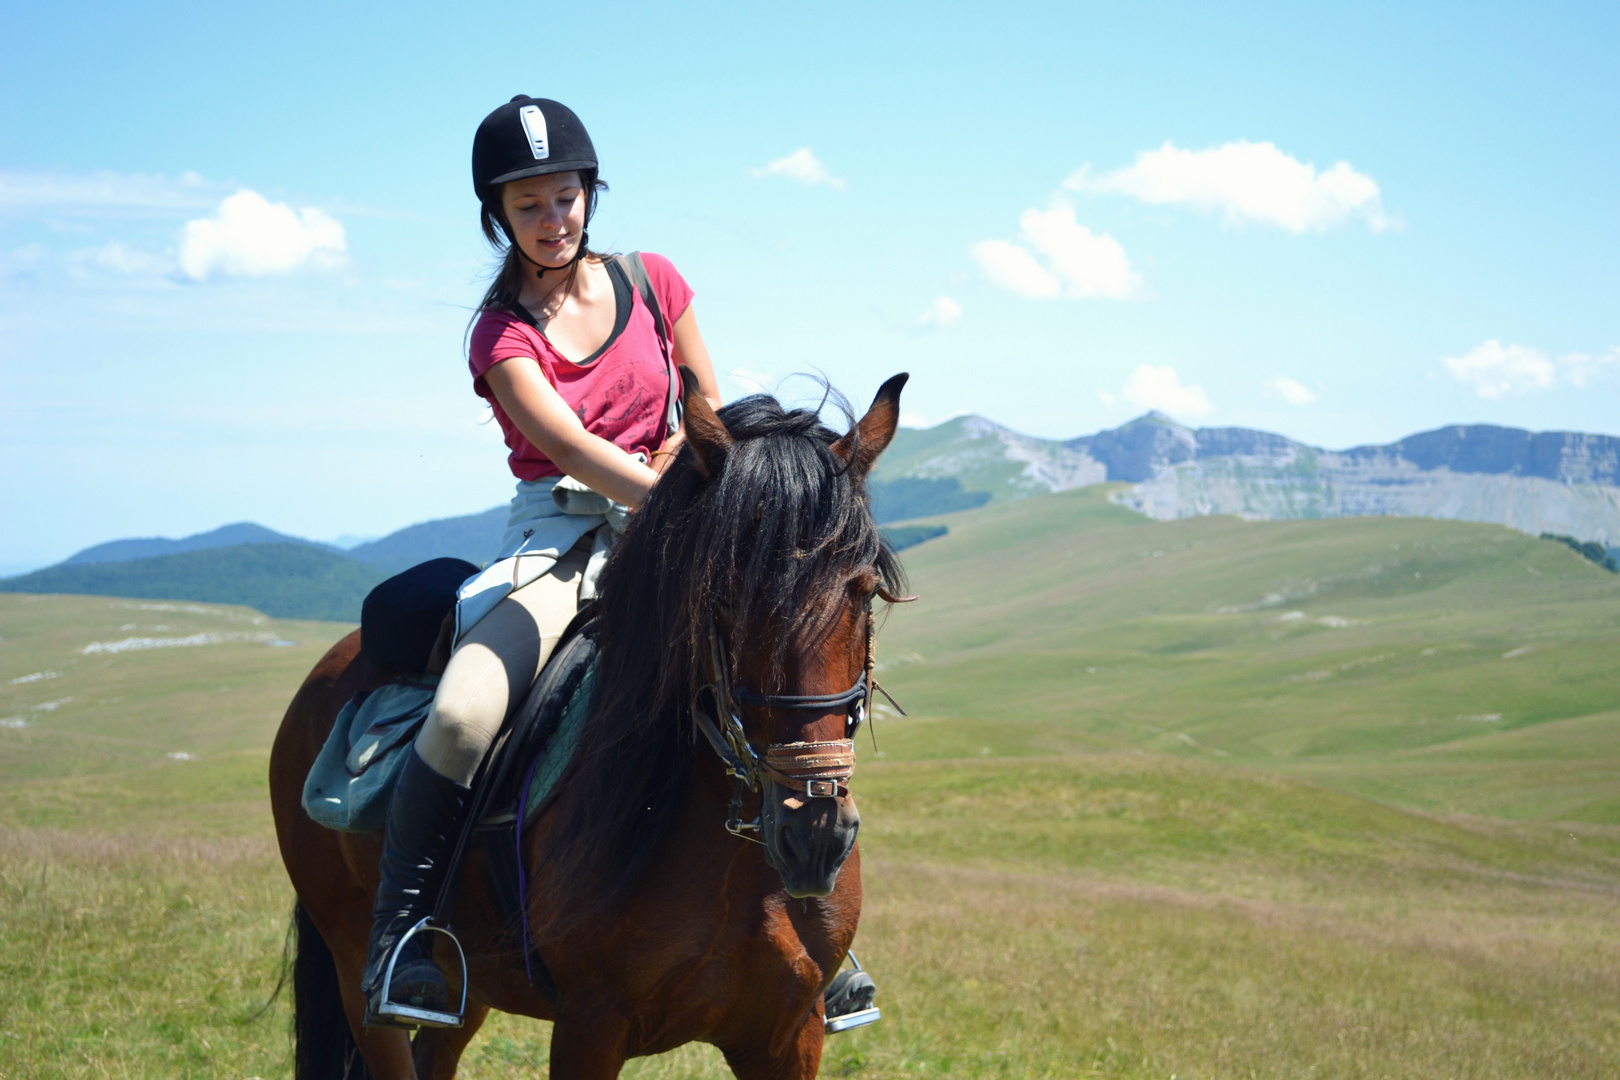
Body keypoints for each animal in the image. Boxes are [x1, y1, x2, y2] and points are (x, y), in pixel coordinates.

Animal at [273, 374, 920, 1080]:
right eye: (723, 595)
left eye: (863, 591)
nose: (816, 834)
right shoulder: (590, 1024)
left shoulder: (788, 1032)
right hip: (352, 961)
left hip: (471, 984)